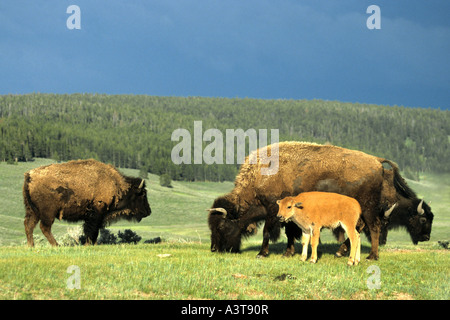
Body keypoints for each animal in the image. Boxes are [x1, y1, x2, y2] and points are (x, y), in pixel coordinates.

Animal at [23, 159, 151, 246]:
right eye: (143, 194)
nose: (148, 211)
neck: (116, 184)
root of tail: (30, 176)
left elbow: (93, 231)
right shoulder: (96, 214)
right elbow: (91, 230)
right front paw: (88, 244)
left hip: (32, 210)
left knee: (29, 225)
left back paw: (31, 246)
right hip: (48, 213)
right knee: (44, 227)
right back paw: (56, 245)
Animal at [207, 142, 432, 260]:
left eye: (222, 226)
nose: (214, 249)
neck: (259, 177)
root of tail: (376, 161)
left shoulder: (272, 210)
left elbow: (267, 232)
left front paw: (263, 253)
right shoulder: (289, 215)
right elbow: (291, 233)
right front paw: (289, 252)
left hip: (366, 207)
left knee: (374, 227)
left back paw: (371, 256)